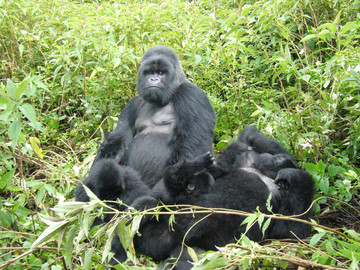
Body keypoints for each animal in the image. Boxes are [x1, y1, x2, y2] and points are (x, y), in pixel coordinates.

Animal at [75, 45, 214, 204]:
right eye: (149, 72)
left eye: (161, 73)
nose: (153, 79)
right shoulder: (132, 105)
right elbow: (116, 144)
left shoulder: (192, 96)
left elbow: (191, 147)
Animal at [108, 127, 314, 270]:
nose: (278, 160)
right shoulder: (238, 161)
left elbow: (292, 230)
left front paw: (294, 175)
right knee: (146, 207)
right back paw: (117, 252)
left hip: (190, 248)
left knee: (189, 260)